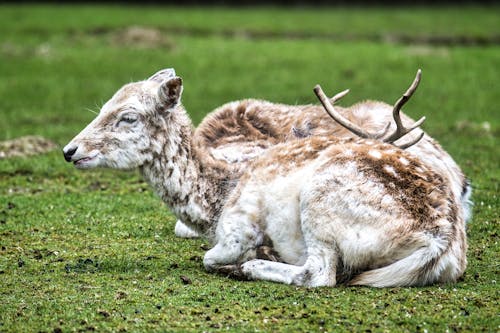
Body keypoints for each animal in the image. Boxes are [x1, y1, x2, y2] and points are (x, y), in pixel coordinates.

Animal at [63, 68, 468, 286]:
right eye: (103, 106)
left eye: (128, 116)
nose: (70, 150)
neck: (215, 200)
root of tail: (443, 243)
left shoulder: (237, 226)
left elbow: (210, 257)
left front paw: (247, 257)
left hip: (321, 202)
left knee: (319, 274)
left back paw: (252, 265)